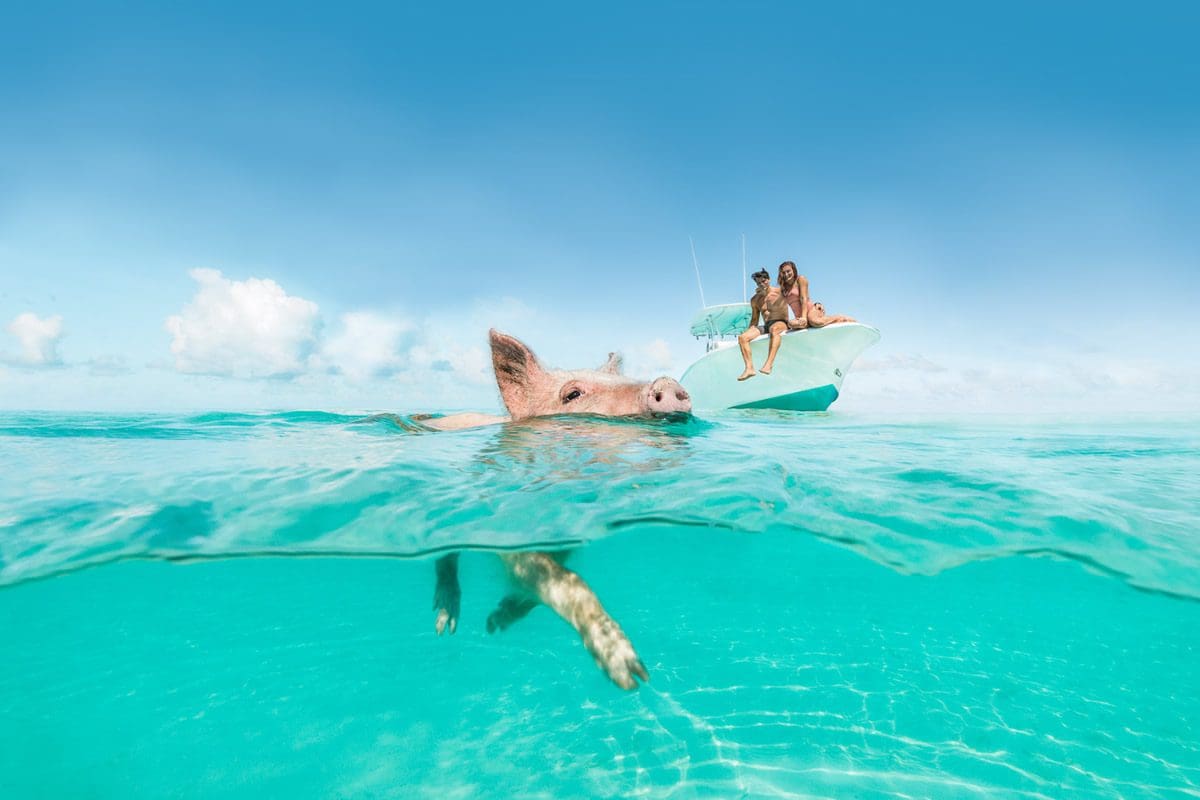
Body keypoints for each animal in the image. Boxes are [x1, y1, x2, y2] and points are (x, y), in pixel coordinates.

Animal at [424, 330, 691, 690]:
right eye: (572, 394)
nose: (667, 382)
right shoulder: (511, 535)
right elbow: (569, 581)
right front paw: (631, 675)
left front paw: (496, 622)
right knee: (446, 557)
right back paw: (445, 624)